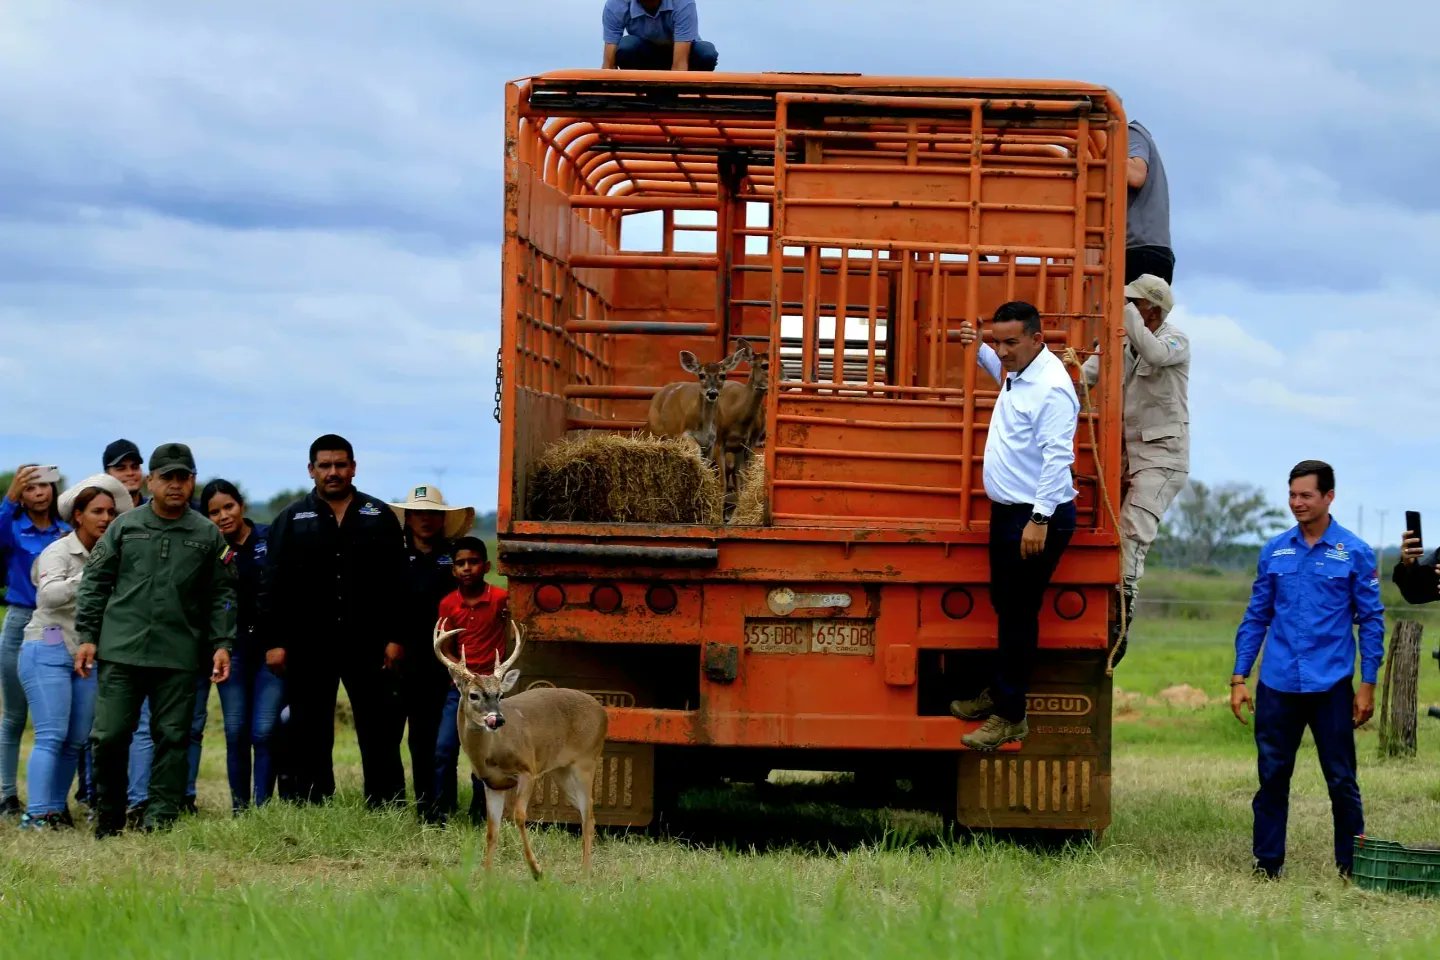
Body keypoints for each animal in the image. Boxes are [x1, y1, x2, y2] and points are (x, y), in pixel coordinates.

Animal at [429, 618, 604, 880]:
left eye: (500, 695)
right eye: (474, 695)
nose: (498, 719)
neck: (490, 753)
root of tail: (604, 712)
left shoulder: (527, 770)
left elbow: (520, 816)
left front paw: (537, 870)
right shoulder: (492, 783)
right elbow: (492, 830)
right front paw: (487, 876)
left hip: (586, 761)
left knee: (589, 815)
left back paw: (585, 874)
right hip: (561, 771)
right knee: (586, 813)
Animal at [645, 341, 748, 492]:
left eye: (722, 375)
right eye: (701, 375)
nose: (712, 393)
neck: (704, 428)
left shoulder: (713, 442)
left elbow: (706, 462)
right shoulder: (683, 434)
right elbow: (696, 450)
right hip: (659, 432)